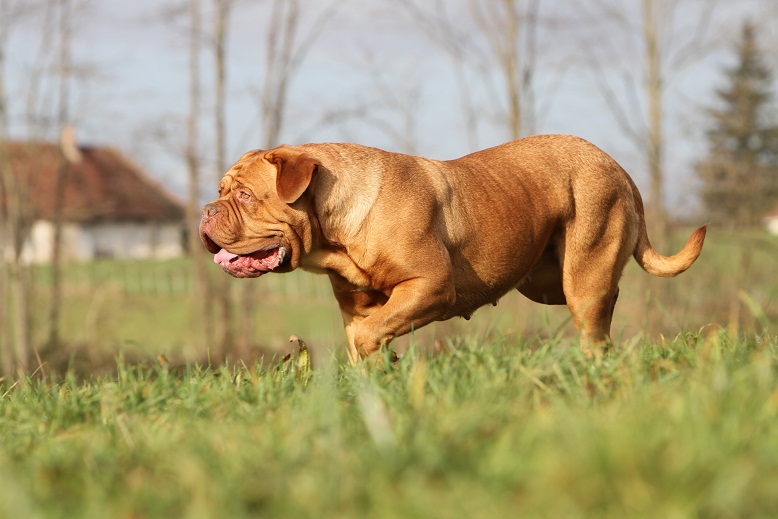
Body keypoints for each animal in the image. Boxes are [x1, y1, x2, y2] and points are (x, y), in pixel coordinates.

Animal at [199, 134, 704, 364]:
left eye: (244, 195)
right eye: (222, 192)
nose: (206, 210)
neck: (335, 232)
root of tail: (616, 165)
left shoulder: (430, 286)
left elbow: (370, 333)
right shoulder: (356, 306)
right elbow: (364, 336)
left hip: (583, 271)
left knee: (594, 320)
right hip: (549, 281)